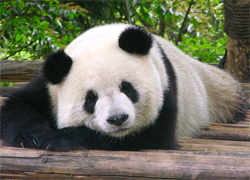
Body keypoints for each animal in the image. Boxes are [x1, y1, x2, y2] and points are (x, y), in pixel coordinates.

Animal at [0, 23, 247, 150]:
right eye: (91, 98)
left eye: (127, 88)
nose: (118, 119)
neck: (105, 37)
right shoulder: (50, 86)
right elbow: (17, 106)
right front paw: (35, 135)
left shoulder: (166, 88)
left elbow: (148, 139)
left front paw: (58, 138)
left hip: (215, 93)